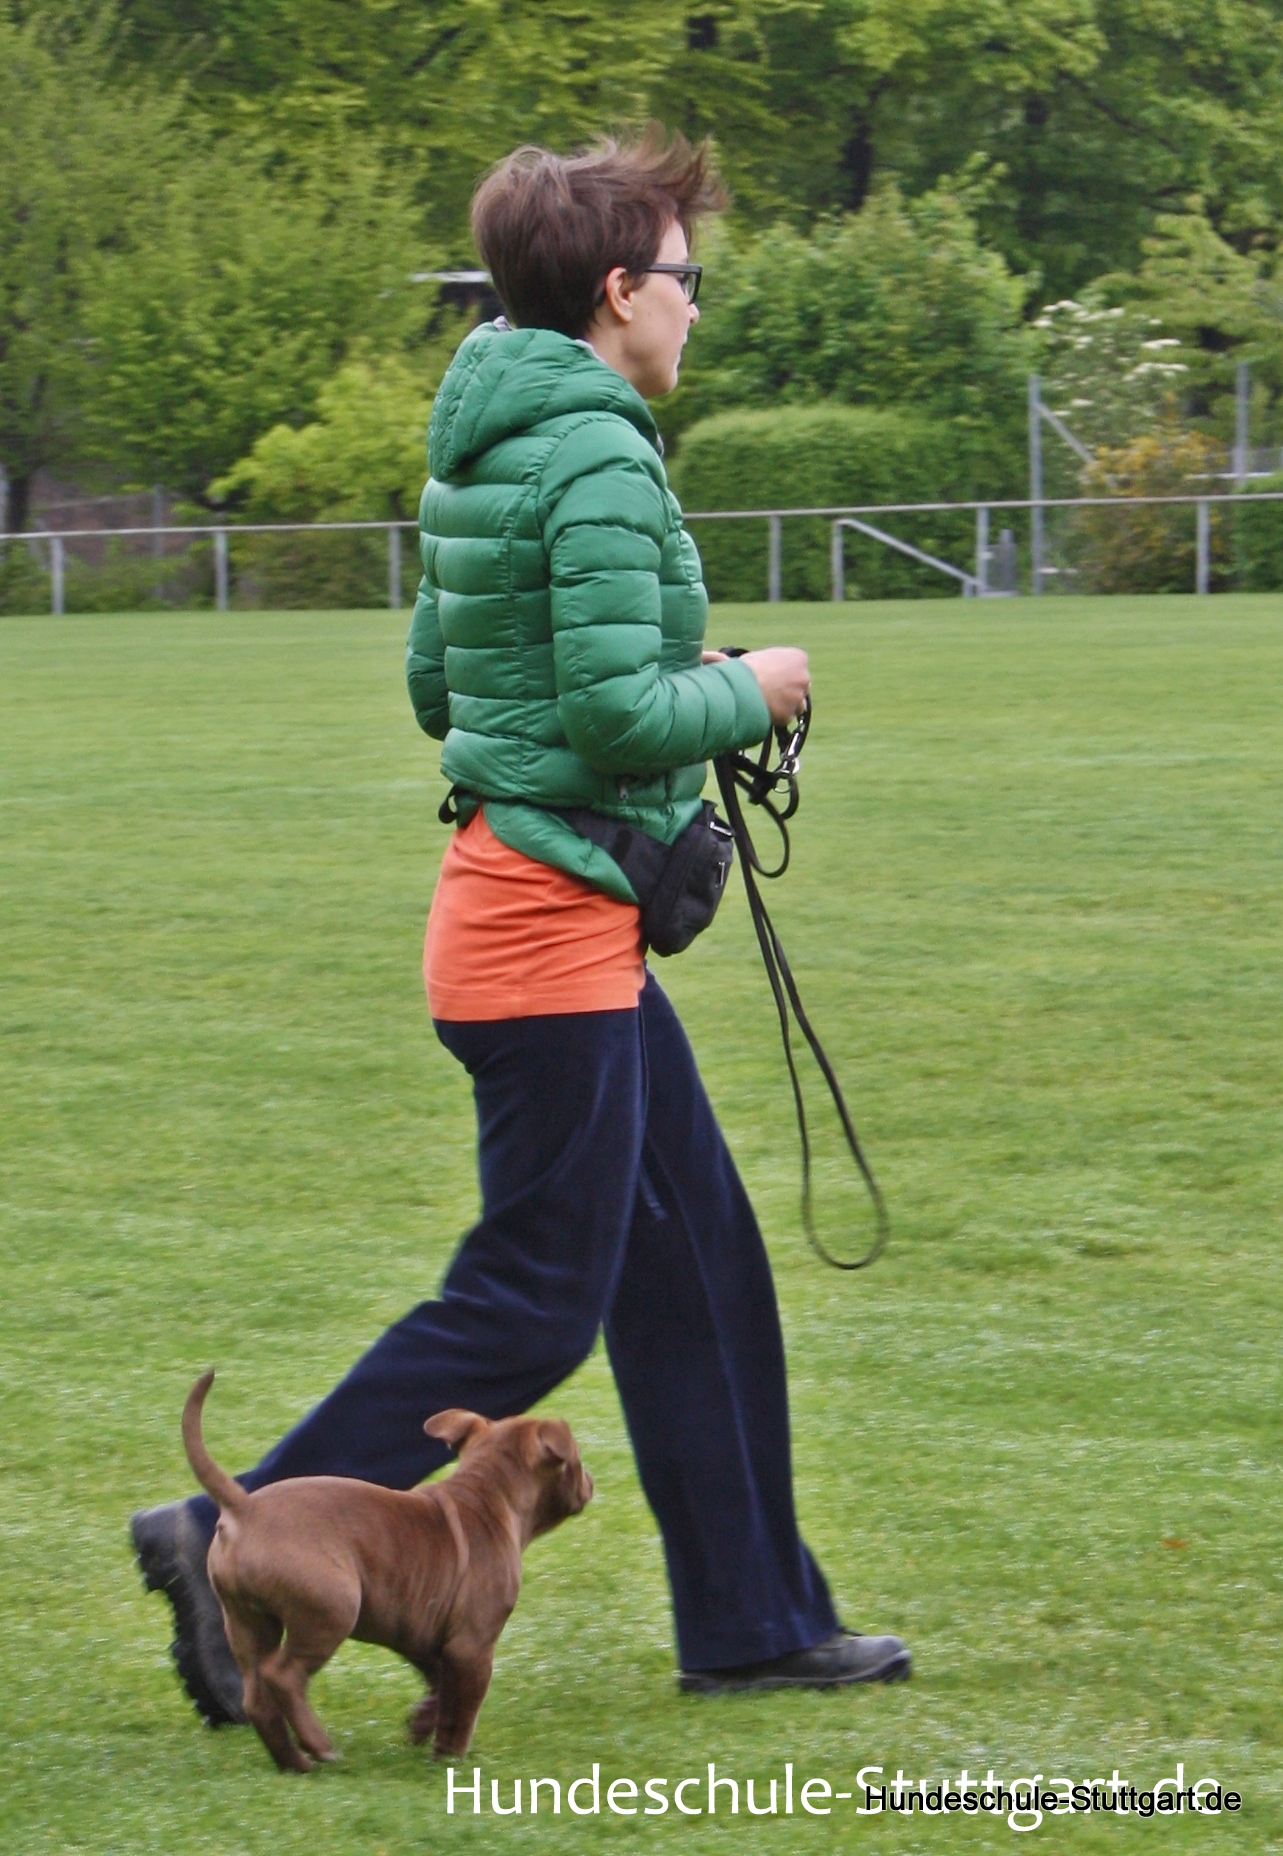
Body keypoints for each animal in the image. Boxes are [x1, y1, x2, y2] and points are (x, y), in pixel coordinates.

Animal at [181, 1370, 592, 1769]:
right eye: (576, 1460)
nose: (591, 1482)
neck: (487, 1494)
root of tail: (245, 1507)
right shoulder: (471, 1646)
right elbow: (461, 1710)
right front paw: (449, 1759)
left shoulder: (421, 1634)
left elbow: (439, 1689)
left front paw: (421, 1726)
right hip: (330, 1611)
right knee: (282, 1676)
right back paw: (321, 1746)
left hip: (246, 1620)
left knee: (257, 1697)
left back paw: (295, 1762)